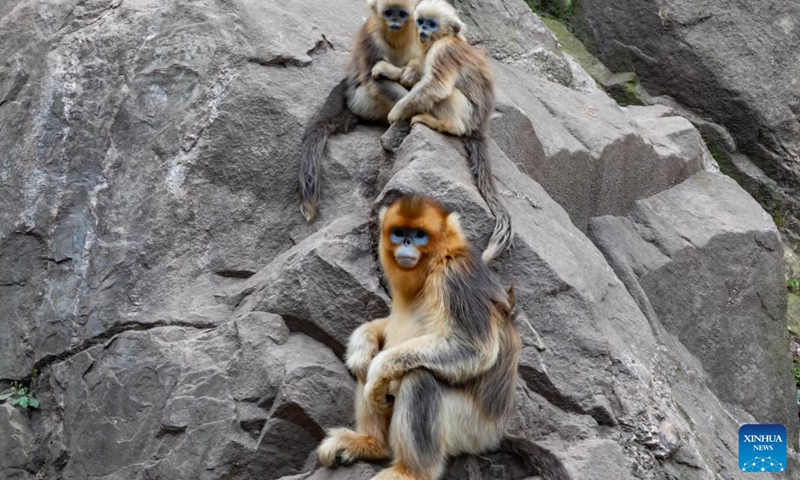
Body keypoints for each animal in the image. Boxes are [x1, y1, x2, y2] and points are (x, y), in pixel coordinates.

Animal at [316, 195, 572, 480]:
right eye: (399, 233)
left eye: (419, 235)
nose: (406, 243)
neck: (433, 265)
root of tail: (496, 435)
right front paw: (363, 341)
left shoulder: (455, 277)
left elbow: (474, 348)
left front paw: (379, 367)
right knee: (367, 367)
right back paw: (372, 444)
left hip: (471, 431)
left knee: (419, 377)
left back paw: (411, 472)